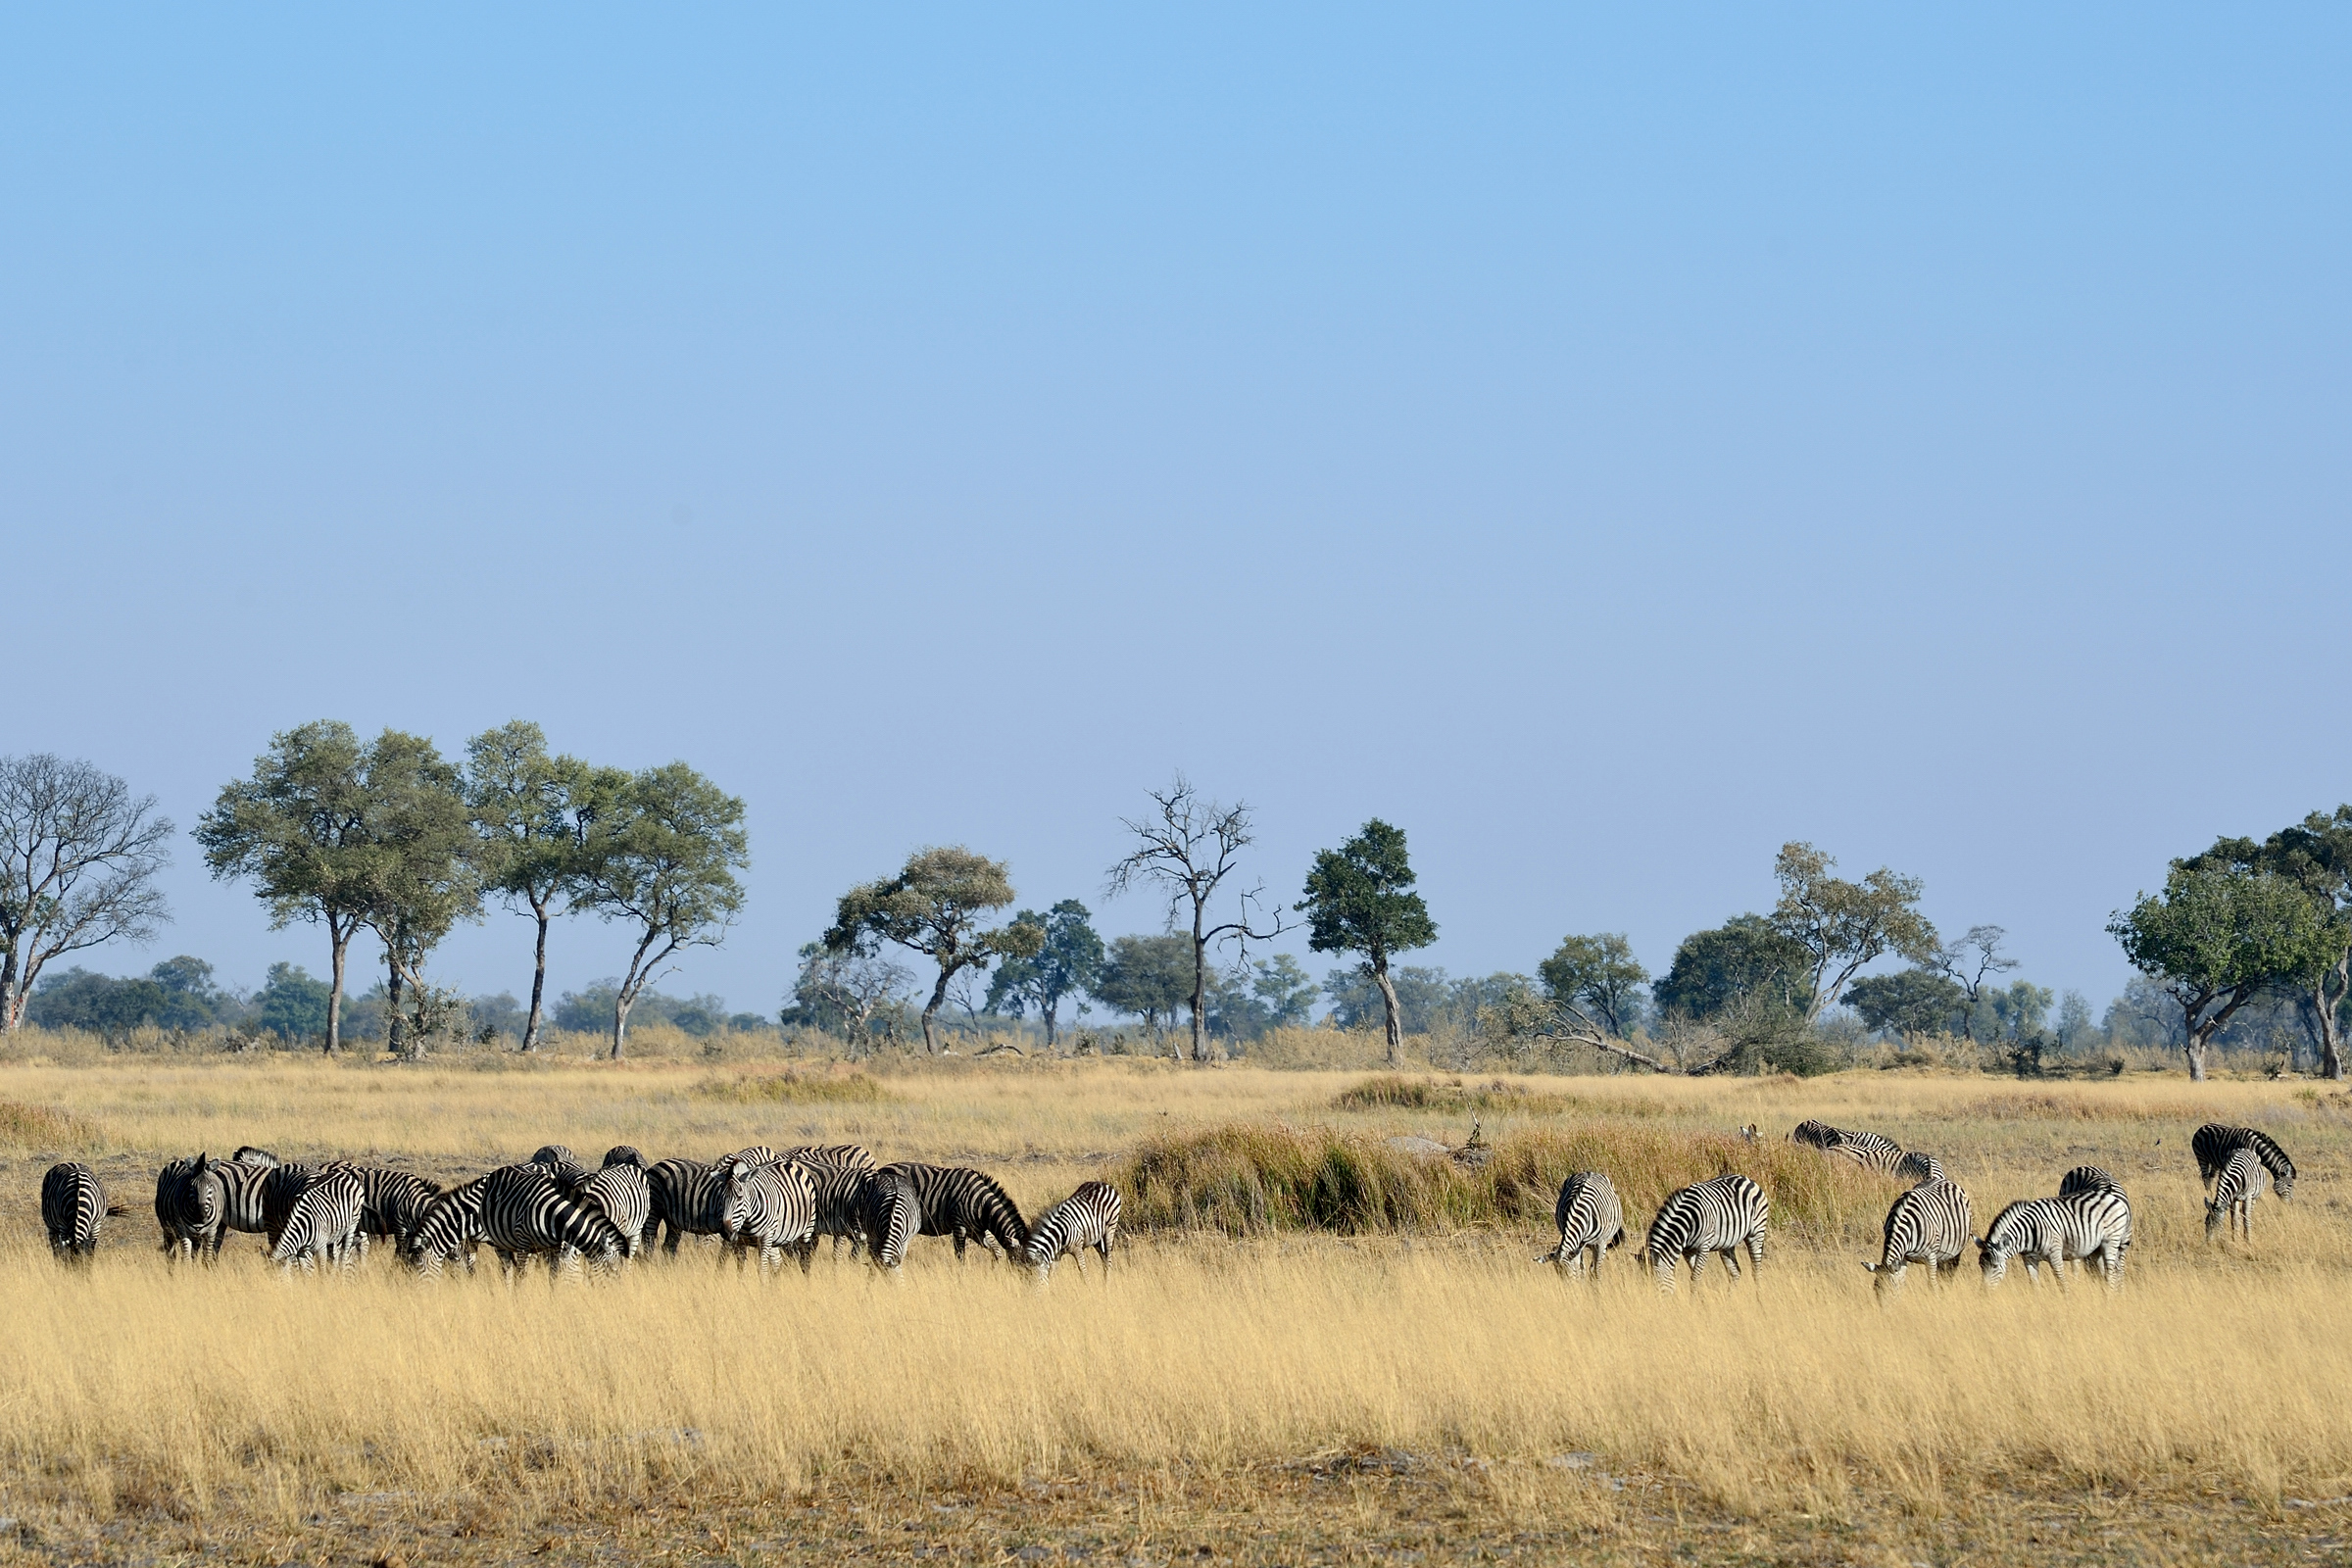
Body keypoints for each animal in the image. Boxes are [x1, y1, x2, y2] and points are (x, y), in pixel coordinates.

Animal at [875, 1162, 1029, 1262]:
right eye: (1026, 1263)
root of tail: (881, 1170)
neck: (982, 1205)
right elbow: (960, 1256)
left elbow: (996, 1250)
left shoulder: (977, 1231)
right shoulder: (959, 1225)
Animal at [1640, 1174, 1768, 1294]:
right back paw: (1729, 1300)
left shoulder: (1704, 1245)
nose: (1656, 1301)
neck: (1689, 1220)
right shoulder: (1688, 1250)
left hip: (1756, 1233)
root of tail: (1747, 1179)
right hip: (1727, 1243)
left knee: (1757, 1271)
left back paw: (1759, 1300)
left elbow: (1695, 1277)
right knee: (1735, 1273)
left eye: (1657, 1283)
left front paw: (1693, 1301)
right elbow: (1696, 1274)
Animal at [1977, 1188, 2131, 1289]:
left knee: (2111, 1275)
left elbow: (2061, 1282)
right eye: (1981, 1266)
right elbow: (2034, 1285)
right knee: (2102, 1274)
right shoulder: (2029, 1259)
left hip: (2111, 1242)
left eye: (1995, 1266)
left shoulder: (2055, 1254)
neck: (2028, 1232)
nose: (1984, 1293)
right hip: (2096, 1250)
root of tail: (2113, 1197)